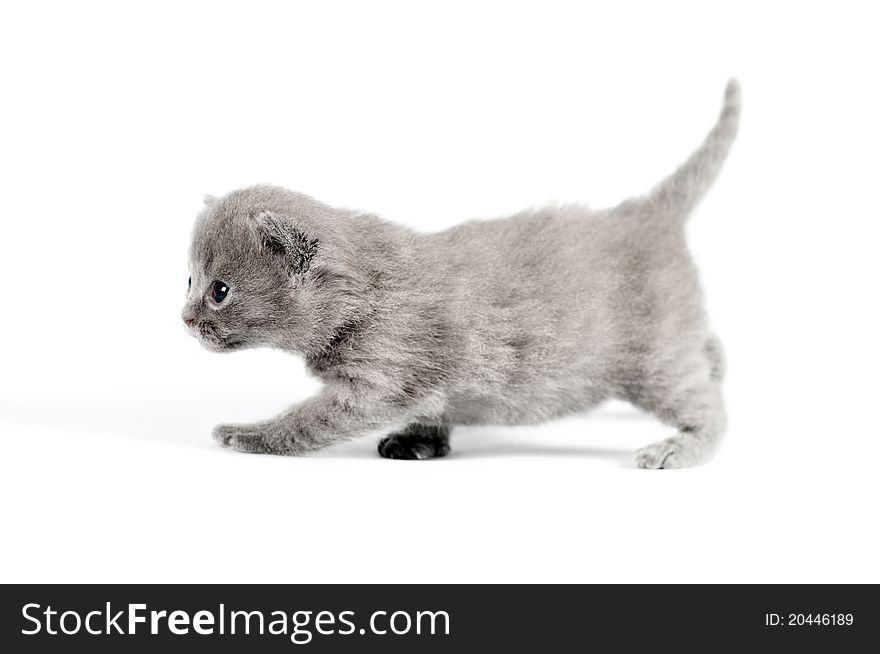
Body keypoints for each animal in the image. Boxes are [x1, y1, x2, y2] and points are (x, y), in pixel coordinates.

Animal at [182, 82, 740, 468]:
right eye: (189, 281)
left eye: (219, 291)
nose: (184, 318)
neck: (363, 290)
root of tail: (644, 214)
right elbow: (431, 409)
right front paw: (420, 441)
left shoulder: (381, 375)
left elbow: (307, 420)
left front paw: (247, 435)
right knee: (711, 350)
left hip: (654, 359)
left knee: (707, 407)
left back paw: (677, 448)